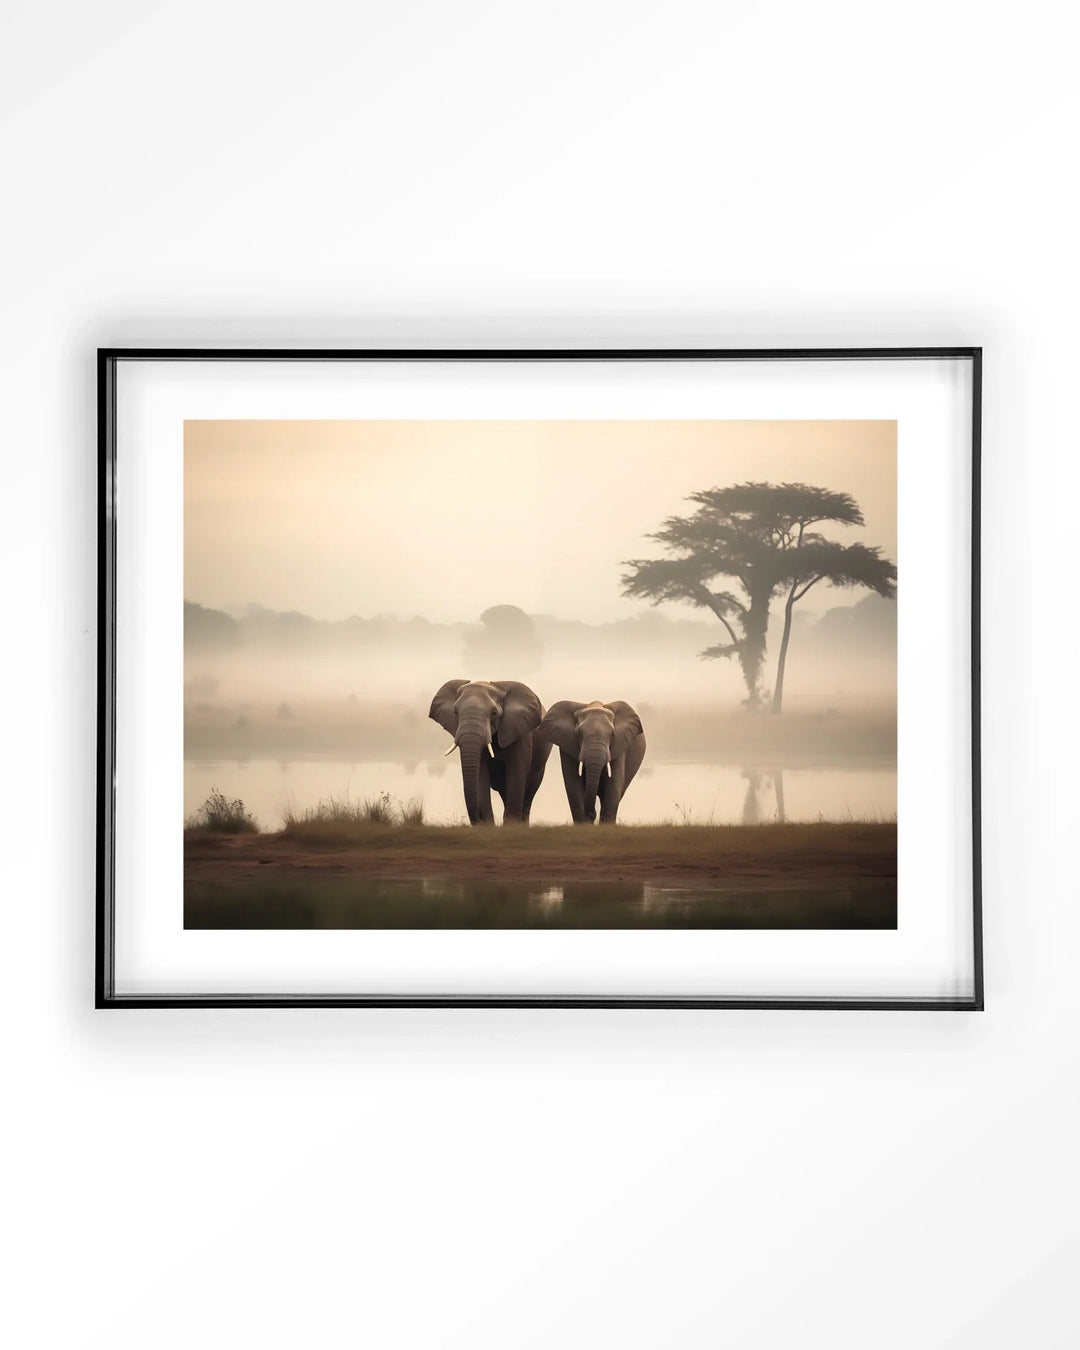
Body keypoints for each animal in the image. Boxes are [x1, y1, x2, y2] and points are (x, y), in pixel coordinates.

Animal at [429, 679, 552, 825]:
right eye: (455, 712)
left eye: (494, 713)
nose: (477, 819)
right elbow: (480, 776)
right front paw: (488, 826)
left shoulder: (521, 733)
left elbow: (517, 773)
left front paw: (511, 826)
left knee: (528, 794)